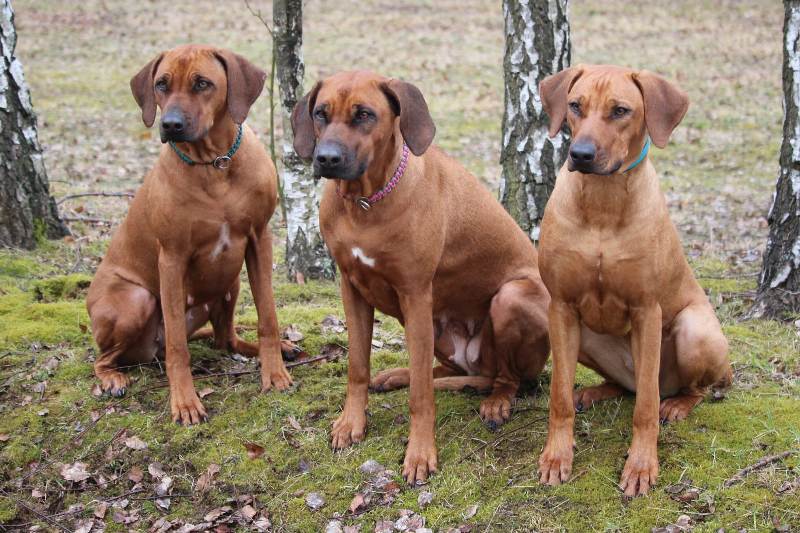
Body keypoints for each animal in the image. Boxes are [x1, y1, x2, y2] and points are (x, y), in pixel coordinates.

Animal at [87, 45, 293, 426]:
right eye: (161, 84)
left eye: (202, 83)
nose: (170, 124)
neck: (214, 164)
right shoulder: (172, 257)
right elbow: (178, 348)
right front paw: (184, 402)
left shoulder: (259, 238)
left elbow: (267, 318)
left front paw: (274, 373)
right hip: (136, 300)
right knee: (107, 357)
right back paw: (112, 378)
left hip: (230, 281)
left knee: (226, 340)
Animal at [291, 71, 551, 484]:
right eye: (320, 113)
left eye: (364, 114)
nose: (326, 158)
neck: (366, 203)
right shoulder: (351, 289)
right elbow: (358, 366)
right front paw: (351, 423)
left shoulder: (414, 293)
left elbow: (422, 397)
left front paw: (420, 453)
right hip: (436, 329)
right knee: (441, 370)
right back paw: (397, 374)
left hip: (508, 300)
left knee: (503, 378)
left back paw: (496, 400)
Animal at [535, 64, 732, 497]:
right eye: (575, 106)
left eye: (621, 111)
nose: (581, 155)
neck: (603, 201)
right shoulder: (560, 306)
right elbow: (558, 397)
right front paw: (557, 456)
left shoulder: (646, 310)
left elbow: (644, 408)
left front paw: (641, 466)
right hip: (581, 337)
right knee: (625, 387)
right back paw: (594, 391)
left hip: (695, 333)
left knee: (682, 389)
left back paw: (677, 404)